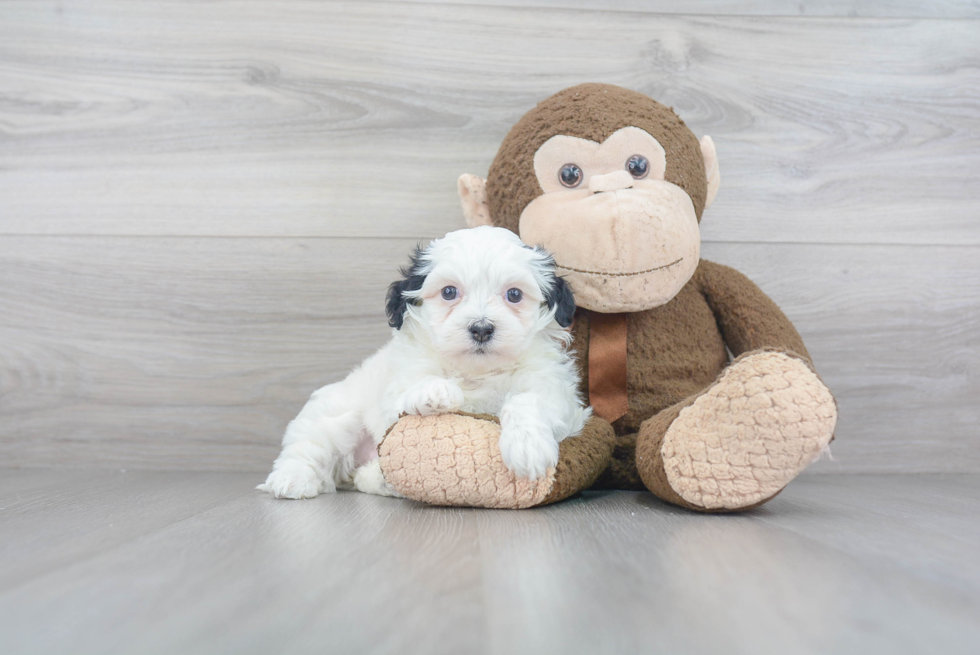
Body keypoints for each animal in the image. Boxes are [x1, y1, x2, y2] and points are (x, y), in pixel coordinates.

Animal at [256, 227, 588, 502]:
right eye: (449, 292)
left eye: (515, 294)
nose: (481, 328)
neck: (476, 372)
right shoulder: (397, 389)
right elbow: (412, 389)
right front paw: (436, 392)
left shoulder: (556, 391)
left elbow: (528, 401)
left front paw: (527, 445)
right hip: (336, 416)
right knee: (309, 446)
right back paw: (291, 480)